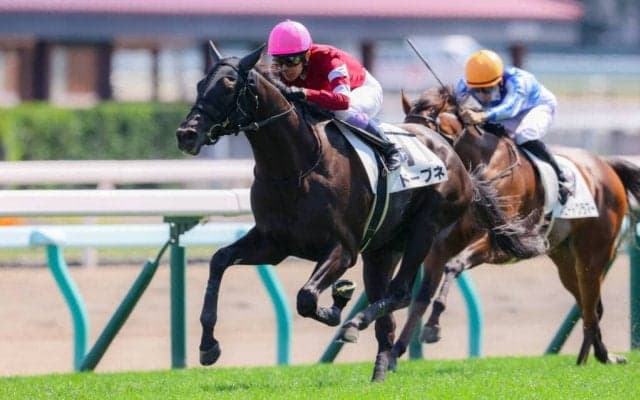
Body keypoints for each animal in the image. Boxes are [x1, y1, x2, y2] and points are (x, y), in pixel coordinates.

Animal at [175, 44, 533, 382]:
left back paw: (355, 324)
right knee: (386, 312)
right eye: (199, 83)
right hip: (382, 250)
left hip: (425, 229)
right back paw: (379, 370)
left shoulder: (343, 249)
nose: (186, 134)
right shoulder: (273, 243)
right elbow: (219, 260)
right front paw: (208, 346)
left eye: (228, 84)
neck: (296, 167)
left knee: (401, 293)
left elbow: (306, 297)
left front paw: (337, 306)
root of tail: (455, 157)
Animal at [391, 85, 640, 368]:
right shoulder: (440, 246)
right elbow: (422, 295)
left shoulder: (501, 243)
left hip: (594, 253)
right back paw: (601, 355)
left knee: (590, 302)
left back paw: (589, 357)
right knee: (591, 304)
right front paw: (396, 350)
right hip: (565, 260)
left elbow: (454, 265)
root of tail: (606, 166)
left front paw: (433, 326)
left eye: (426, 136)